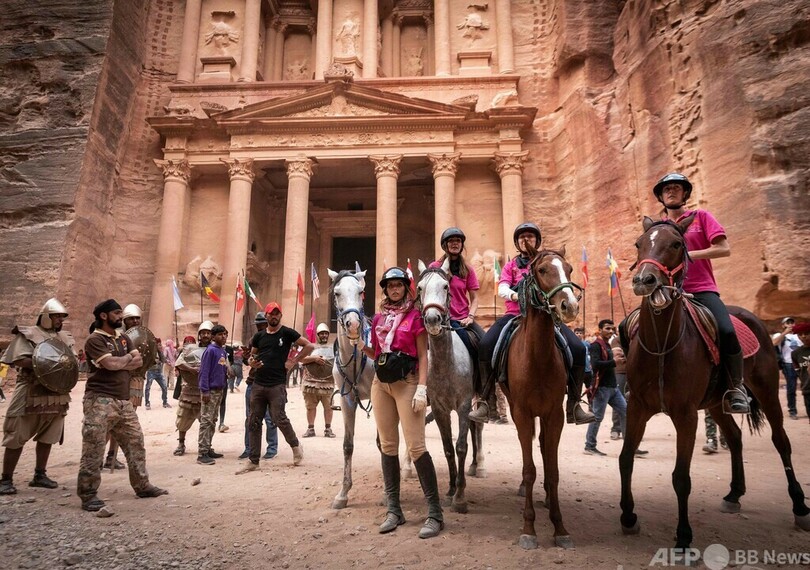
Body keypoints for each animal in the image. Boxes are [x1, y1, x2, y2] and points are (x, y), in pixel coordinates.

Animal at [414, 259, 485, 514]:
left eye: (446, 286)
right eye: (420, 288)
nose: (433, 320)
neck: (447, 363)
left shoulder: (463, 404)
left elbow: (461, 446)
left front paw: (460, 496)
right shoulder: (439, 408)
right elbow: (447, 448)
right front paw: (451, 489)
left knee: (477, 427)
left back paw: (479, 466)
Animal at [499, 246, 582, 550]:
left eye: (569, 269)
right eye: (543, 270)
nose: (570, 306)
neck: (537, 360)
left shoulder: (555, 414)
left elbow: (553, 469)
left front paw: (560, 528)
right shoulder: (522, 413)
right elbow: (529, 469)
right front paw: (529, 528)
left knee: (545, 447)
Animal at [619, 216, 809, 555]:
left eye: (677, 244)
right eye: (639, 243)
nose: (644, 279)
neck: (663, 344)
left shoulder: (685, 415)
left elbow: (681, 477)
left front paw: (683, 537)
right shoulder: (638, 407)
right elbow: (626, 458)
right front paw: (628, 517)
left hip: (766, 390)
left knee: (781, 441)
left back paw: (799, 507)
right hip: (716, 403)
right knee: (734, 437)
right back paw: (734, 495)